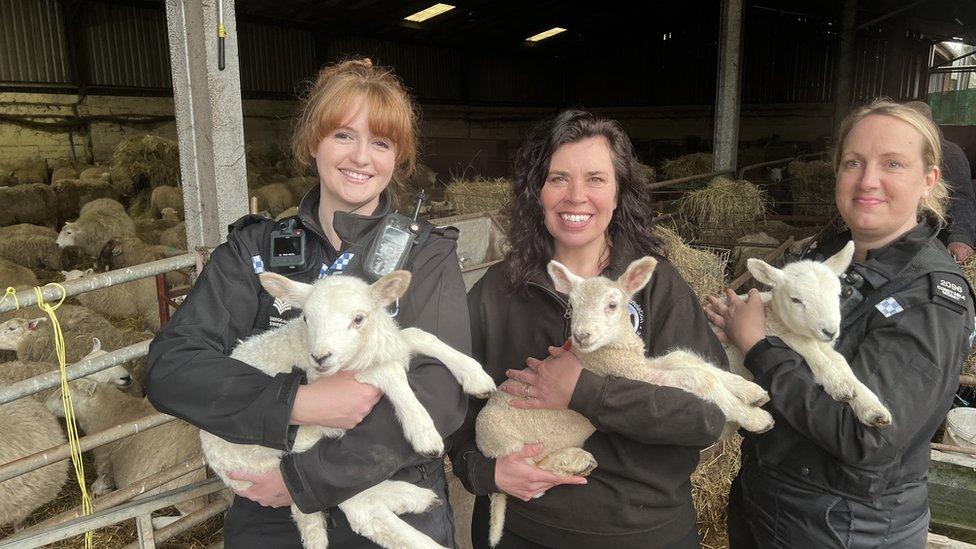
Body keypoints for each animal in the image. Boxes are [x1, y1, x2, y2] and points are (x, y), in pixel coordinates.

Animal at [203, 270, 500, 548]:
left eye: (358, 319)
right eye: (306, 318)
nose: (320, 357)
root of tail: (214, 458)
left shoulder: (388, 344)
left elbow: (417, 335)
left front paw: (476, 376)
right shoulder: (343, 378)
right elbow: (390, 370)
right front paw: (424, 433)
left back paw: (414, 497)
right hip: (282, 450)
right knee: (358, 508)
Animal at [712, 241, 888, 428]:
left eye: (839, 294)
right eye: (795, 300)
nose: (830, 331)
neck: (774, 315)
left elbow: (840, 361)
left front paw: (871, 407)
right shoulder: (778, 332)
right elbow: (810, 349)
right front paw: (839, 384)